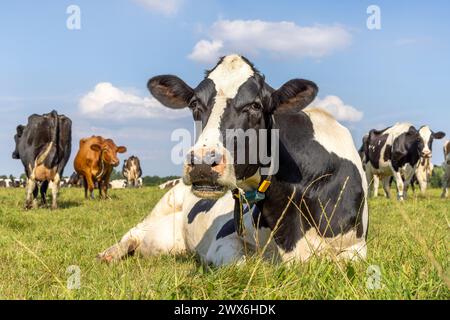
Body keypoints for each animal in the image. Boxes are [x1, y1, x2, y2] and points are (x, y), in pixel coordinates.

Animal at [96, 55, 368, 268]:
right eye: (194, 103)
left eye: (256, 105)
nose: (203, 163)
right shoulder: (225, 239)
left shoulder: (356, 249)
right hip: (163, 207)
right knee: (135, 232)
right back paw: (109, 253)